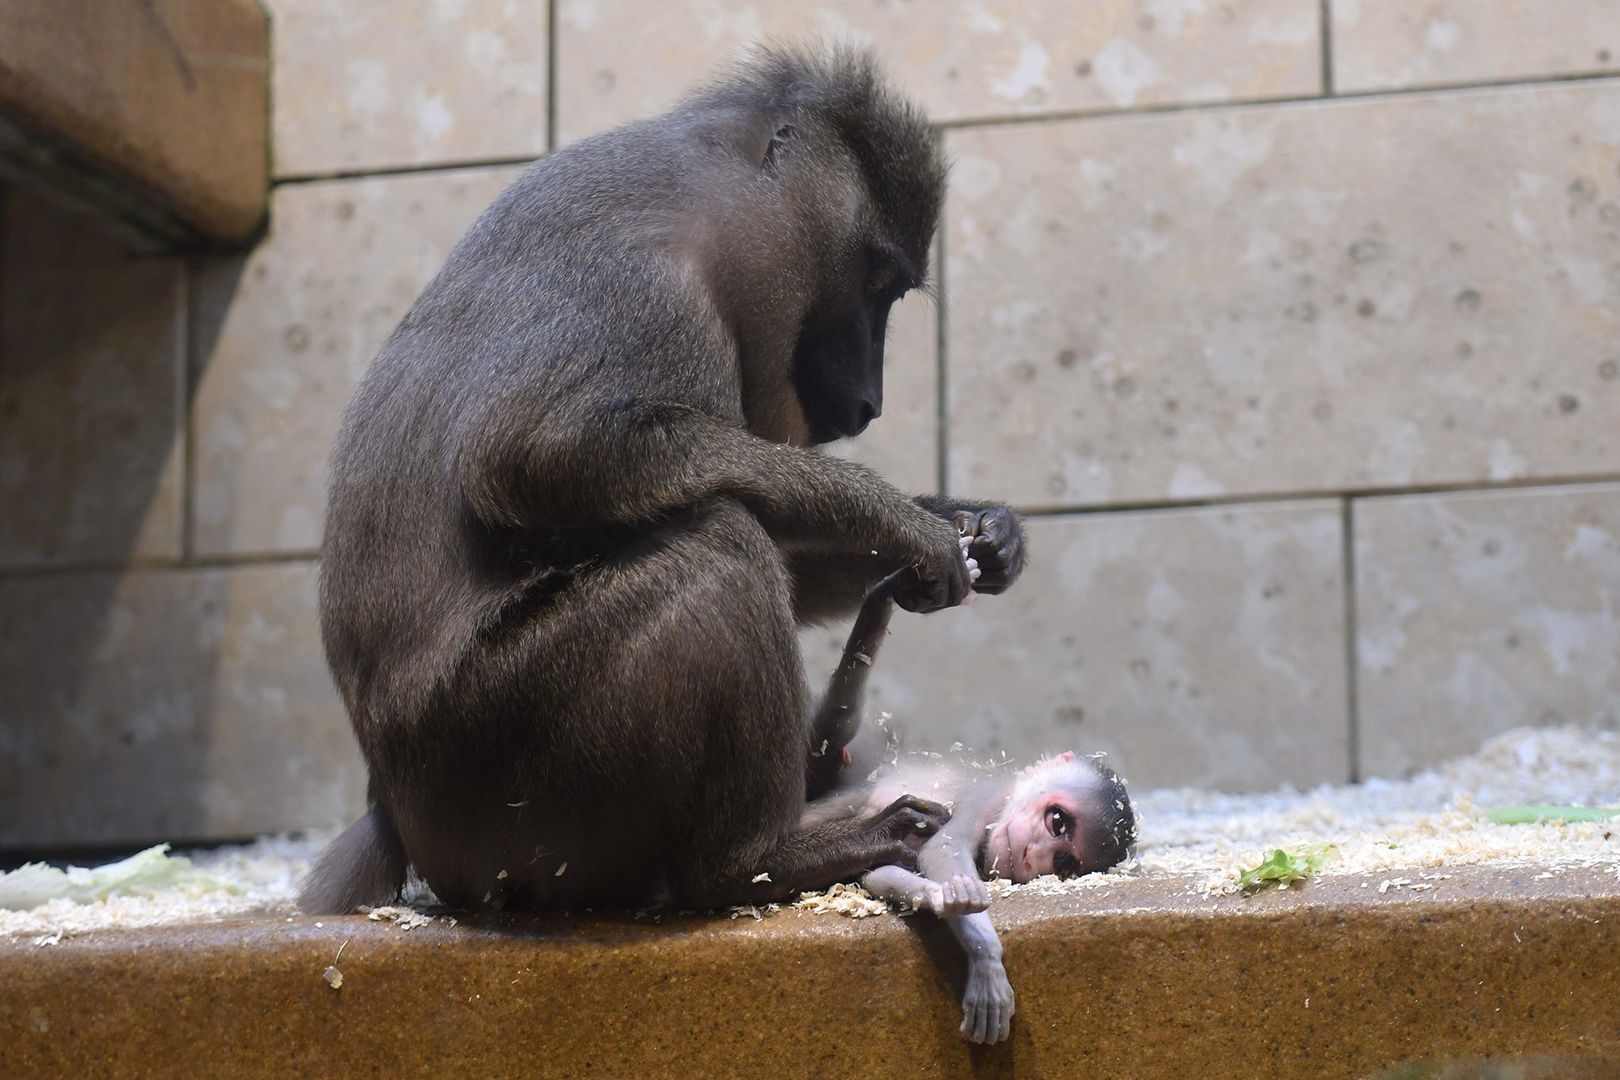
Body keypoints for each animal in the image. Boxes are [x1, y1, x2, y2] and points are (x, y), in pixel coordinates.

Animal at [803, 553, 1134, 1042]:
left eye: (1064, 863)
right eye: (1057, 820)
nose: (1036, 853)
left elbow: (880, 872)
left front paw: (940, 896)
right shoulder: (988, 794)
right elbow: (942, 846)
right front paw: (984, 953)